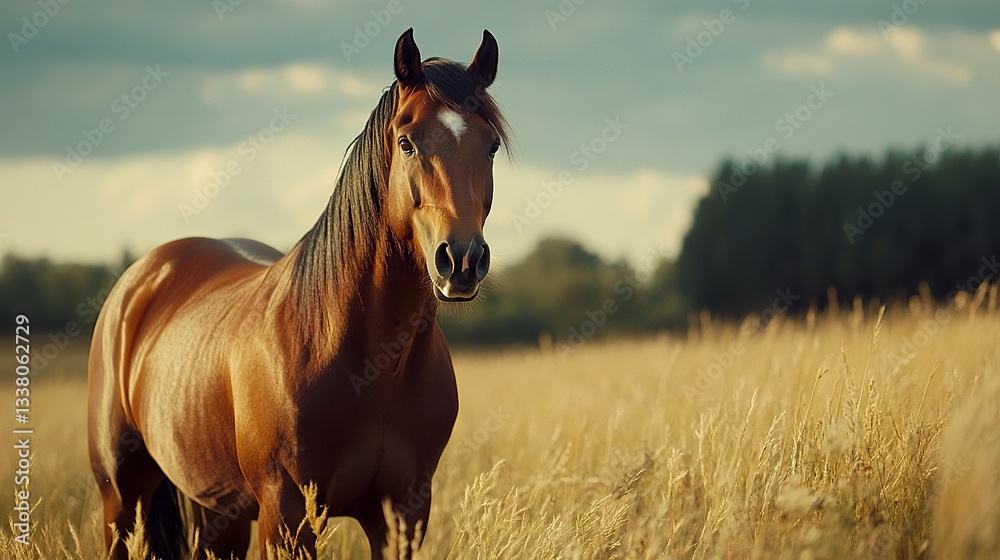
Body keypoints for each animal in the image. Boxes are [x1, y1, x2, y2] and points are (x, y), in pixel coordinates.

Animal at [87, 27, 509, 560]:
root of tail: (142, 277)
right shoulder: (287, 513)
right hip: (122, 500)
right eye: (407, 142)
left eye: (490, 146)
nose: (462, 260)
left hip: (218, 510)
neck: (366, 360)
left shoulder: (404, 512)